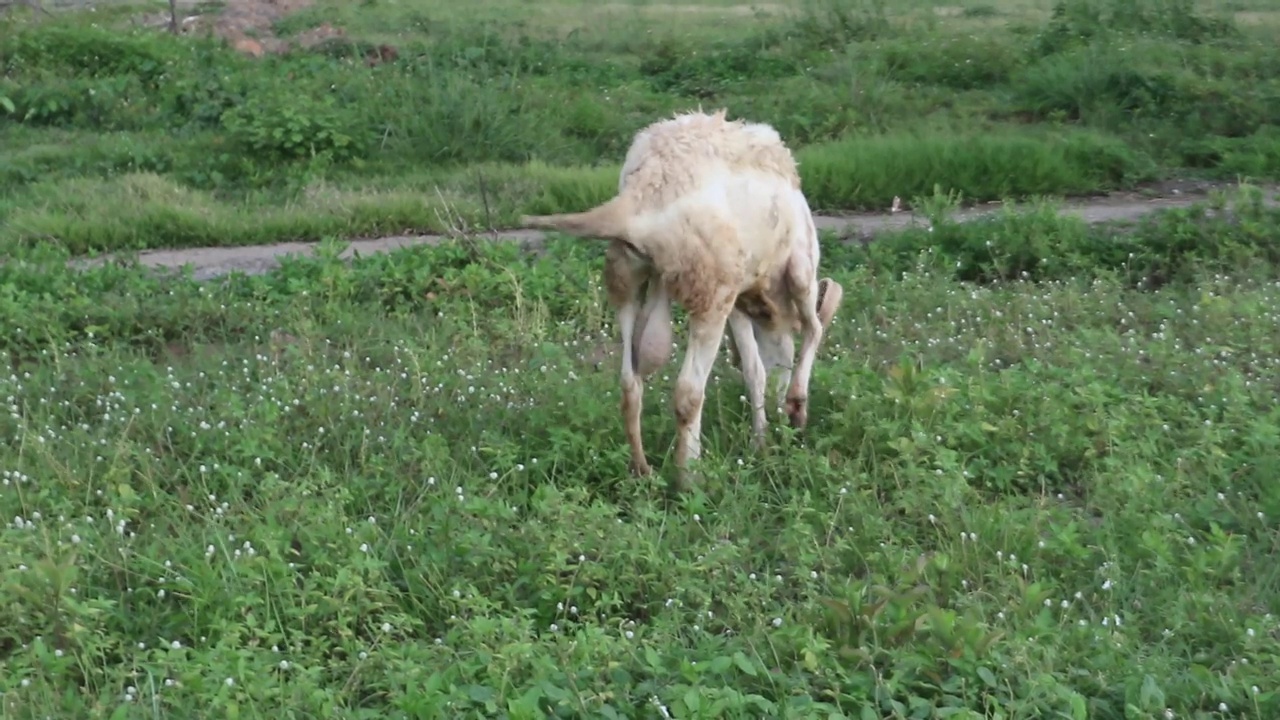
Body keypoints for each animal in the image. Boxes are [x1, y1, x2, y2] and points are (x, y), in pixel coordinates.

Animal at [514, 107, 844, 486]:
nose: (781, 419)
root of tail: (641, 196)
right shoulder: (798, 266)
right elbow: (813, 329)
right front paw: (795, 407)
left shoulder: (738, 299)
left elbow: (753, 370)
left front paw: (760, 441)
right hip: (710, 292)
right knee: (687, 392)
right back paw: (690, 476)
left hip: (628, 277)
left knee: (630, 383)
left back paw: (642, 470)